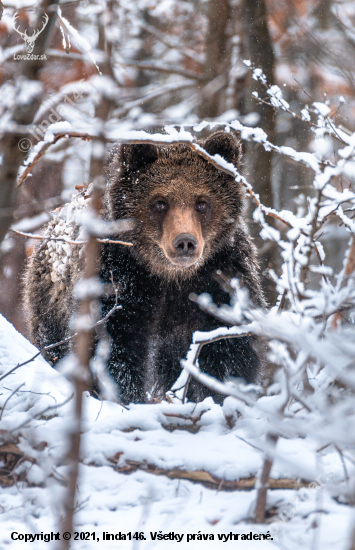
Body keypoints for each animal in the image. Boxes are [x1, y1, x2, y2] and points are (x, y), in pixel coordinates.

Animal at [24, 130, 264, 406]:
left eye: (202, 202)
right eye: (160, 202)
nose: (185, 242)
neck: (172, 276)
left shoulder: (223, 275)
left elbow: (229, 347)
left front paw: (220, 396)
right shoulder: (118, 275)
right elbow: (114, 344)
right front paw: (126, 397)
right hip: (49, 307)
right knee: (54, 346)